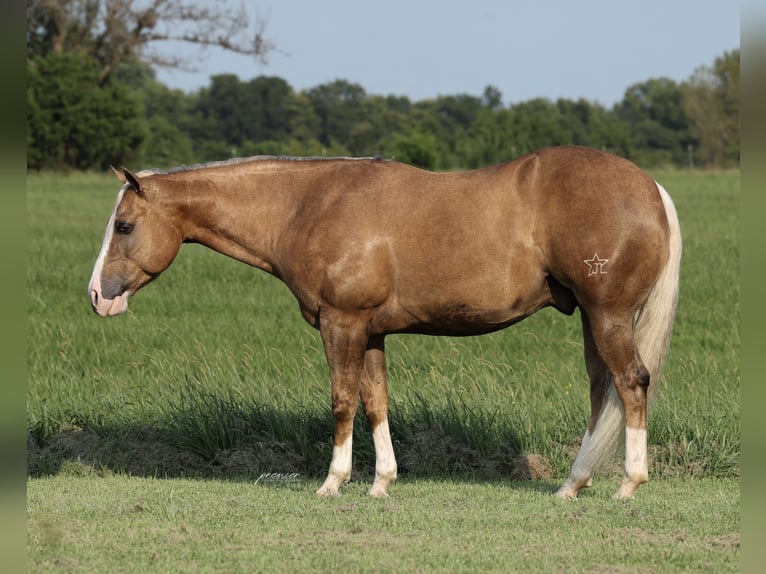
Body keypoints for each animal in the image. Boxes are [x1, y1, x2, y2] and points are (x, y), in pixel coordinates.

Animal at [88, 145, 681, 499]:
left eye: (124, 225)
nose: (97, 297)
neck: (309, 206)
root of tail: (650, 187)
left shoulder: (342, 325)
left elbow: (342, 401)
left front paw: (333, 482)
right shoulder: (371, 332)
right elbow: (375, 402)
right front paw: (381, 483)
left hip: (607, 317)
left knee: (631, 384)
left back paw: (628, 485)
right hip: (593, 321)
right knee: (602, 391)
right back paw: (571, 486)